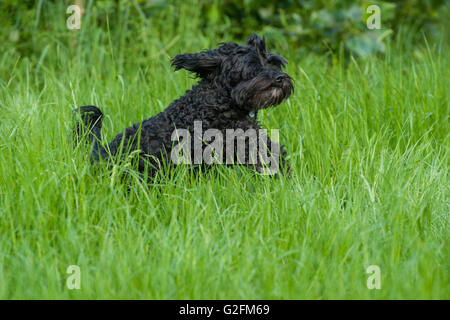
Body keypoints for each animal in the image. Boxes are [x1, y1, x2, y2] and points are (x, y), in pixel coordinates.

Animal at [74, 34, 292, 178]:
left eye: (273, 63)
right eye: (252, 65)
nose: (281, 78)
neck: (220, 101)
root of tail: (98, 153)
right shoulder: (244, 143)